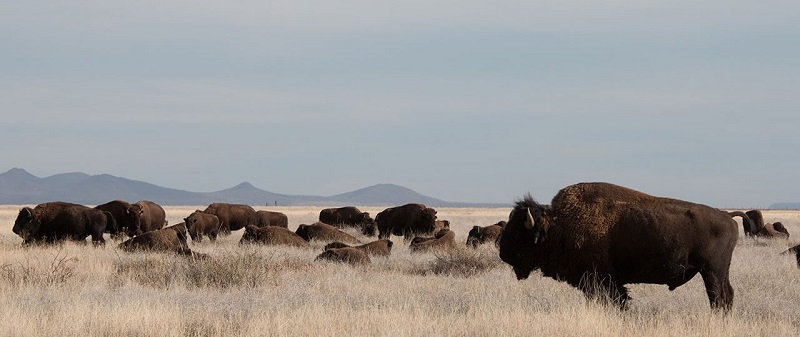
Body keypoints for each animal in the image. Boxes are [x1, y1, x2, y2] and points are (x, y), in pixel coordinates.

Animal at [500, 181, 752, 312]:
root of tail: (728, 216)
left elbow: (616, 300)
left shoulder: (601, 279)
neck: (557, 225)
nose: (503, 254)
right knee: (726, 295)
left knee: (718, 297)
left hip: (711, 271)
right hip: (718, 271)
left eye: (518, 233)